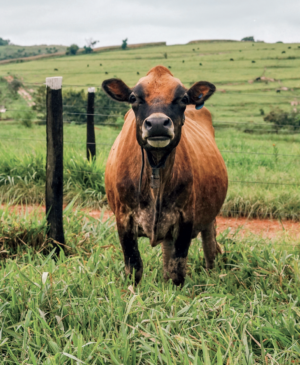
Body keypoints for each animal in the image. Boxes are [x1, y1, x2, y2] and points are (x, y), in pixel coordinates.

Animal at [102, 67, 227, 286]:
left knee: (210, 245)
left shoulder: (186, 218)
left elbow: (177, 271)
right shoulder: (123, 219)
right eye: (133, 98)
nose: (158, 124)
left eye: (183, 98)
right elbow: (134, 268)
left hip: (209, 216)